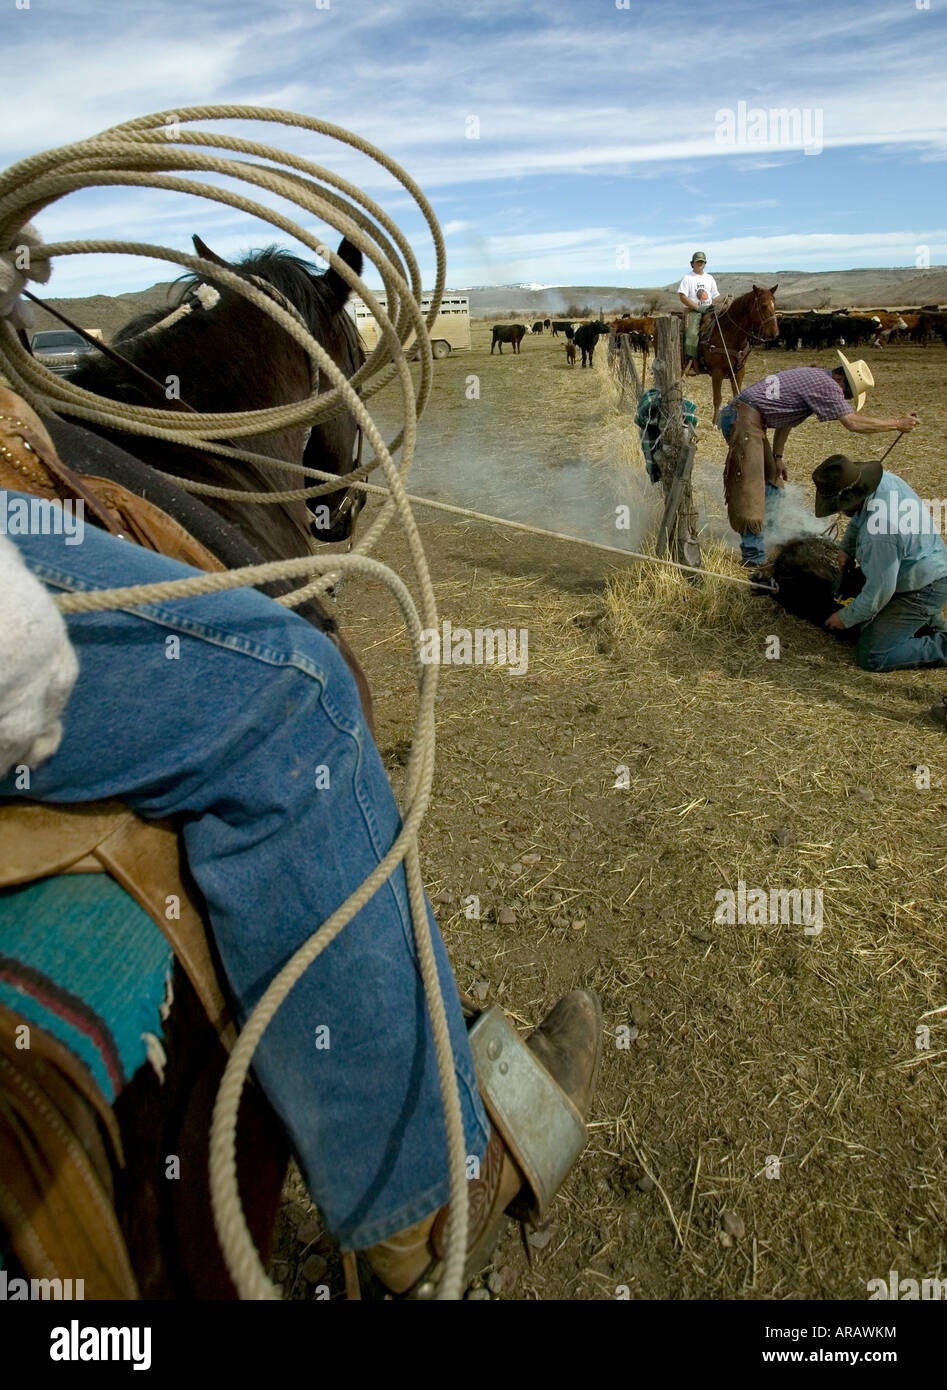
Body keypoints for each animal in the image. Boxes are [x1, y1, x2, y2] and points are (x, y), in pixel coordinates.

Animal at [678, 287, 773, 422]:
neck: (729, 333)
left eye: (774, 304)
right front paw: (714, 422)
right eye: (763, 305)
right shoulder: (717, 372)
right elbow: (717, 399)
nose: (774, 332)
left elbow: (737, 396)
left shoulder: (739, 371)